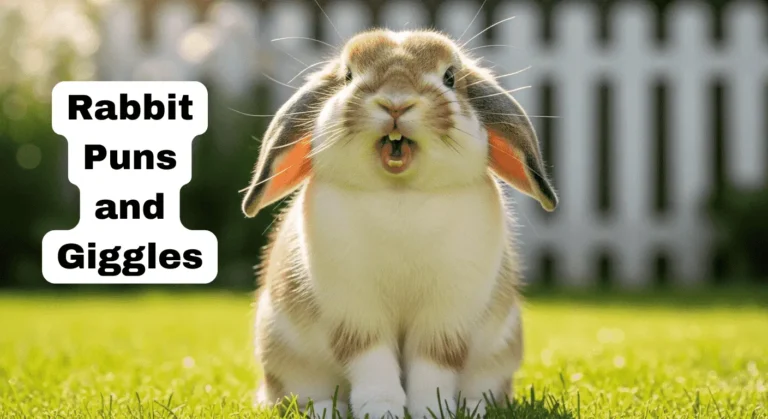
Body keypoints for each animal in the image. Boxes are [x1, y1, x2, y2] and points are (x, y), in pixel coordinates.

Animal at [241, 29, 557, 419]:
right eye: (348, 76)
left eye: (450, 78)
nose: (395, 103)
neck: (399, 195)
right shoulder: (356, 316)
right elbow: (372, 363)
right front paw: (381, 411)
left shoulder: (445, 321)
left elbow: (433, 365)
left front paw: (432, 411)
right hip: (286, 360)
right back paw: (324, 409)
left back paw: (473, 408)